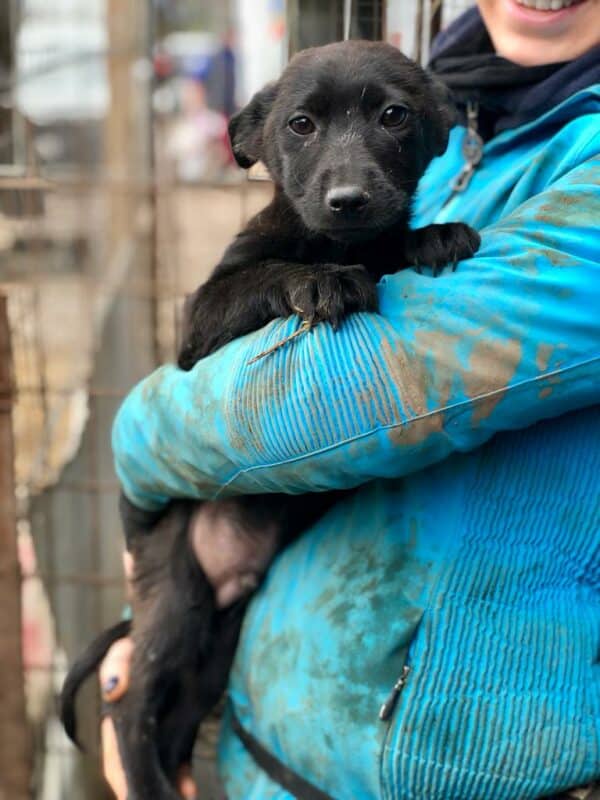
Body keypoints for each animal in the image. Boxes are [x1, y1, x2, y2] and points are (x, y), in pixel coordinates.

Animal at [61, 43, 478, 800]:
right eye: (301, 125)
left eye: (394, 117)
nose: (349, 201)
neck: (336, 241)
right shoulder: (197, 330)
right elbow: (266, 277)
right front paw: (318, 281)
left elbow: (393, 245)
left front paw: (433, 236)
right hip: (178, 594)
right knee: (129, 704)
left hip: (218, 636)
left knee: (172, 714)